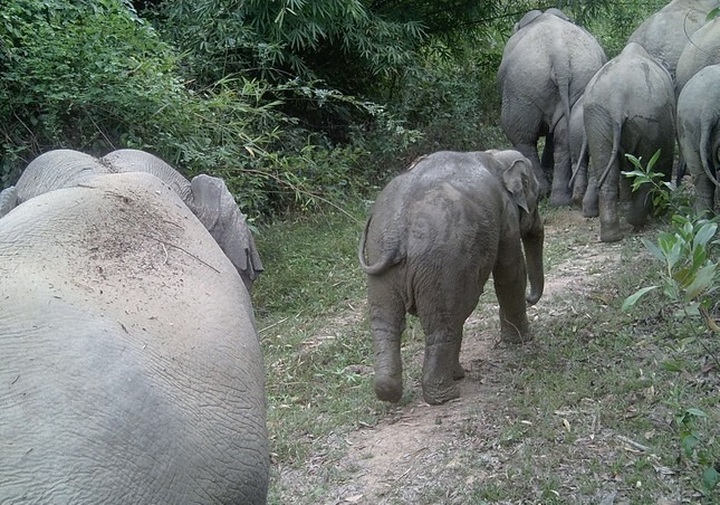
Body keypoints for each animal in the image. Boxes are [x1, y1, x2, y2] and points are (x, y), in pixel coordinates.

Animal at [358, 149, 544, 405]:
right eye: (538, 197)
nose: (530, 298)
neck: (495, 157)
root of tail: (397, 230)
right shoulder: (505, 214)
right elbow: (510, 271)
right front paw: (521, 341)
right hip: (442, 262)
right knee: (443, 323)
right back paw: (446, 394)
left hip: (381, 259)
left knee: (387, 323)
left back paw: (391, 392)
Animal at [498, 9, 607, 207]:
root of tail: (560, 55)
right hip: (581, 79)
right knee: (563, 136)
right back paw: (561, 199)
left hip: (522, 88)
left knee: (521, 135)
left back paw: (541, 192)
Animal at [582, 42, 676, 242]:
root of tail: (617, 100)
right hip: (650, 118)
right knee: (650, 165)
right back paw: (636, 222)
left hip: (597, 117)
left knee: (606, 170)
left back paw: (612, 236)